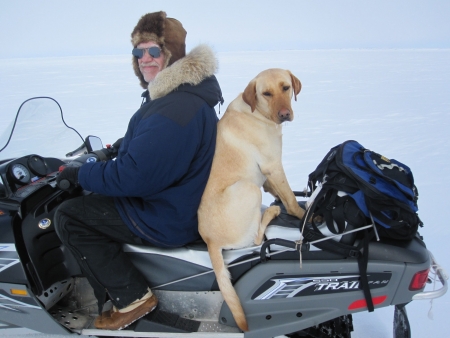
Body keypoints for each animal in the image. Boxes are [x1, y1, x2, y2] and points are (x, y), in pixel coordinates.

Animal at [198, 68, 306, 330]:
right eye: (266, 93)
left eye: (286, 87)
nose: (284, 114)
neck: (259, 114)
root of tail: (210, 241)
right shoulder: (273, 166)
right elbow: (289, 198)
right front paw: (303, 214)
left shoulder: (267, 176)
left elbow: (280, 193)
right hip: (249, 188)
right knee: (257, 238)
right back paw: (271, 212)